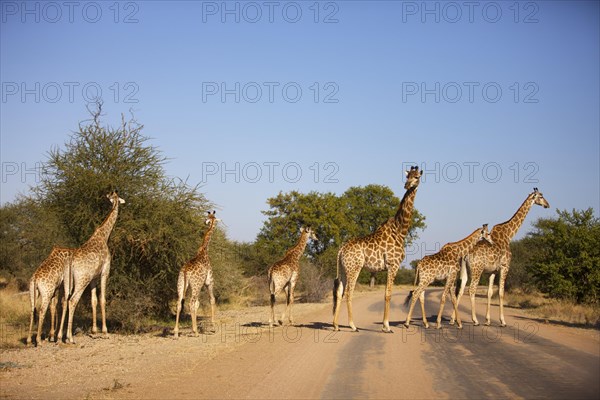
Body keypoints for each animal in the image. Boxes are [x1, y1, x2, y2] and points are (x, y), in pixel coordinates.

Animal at [65, 191, 124, 344]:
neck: (104, 235)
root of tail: (72, 263)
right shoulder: (104, 273)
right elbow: (102, 299)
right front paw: (105, 331)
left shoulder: (93, 278)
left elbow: (93, 301)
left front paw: (94, 330)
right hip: (81, 280)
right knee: (72, 300)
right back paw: (70, 338)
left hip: (69, 282)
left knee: (66, 300)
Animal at [330, 166, 424, 332]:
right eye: (407, 176)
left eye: (417, 177)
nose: (407, 185)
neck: (400, 231)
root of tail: (341, 249)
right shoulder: (393, 265)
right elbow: (388, 294)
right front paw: (387, 326)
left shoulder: (388, 268)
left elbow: (386, 294)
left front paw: (385, 325)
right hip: (354, 268)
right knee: (348, 292)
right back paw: (353, 326)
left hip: (343, 269)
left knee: (339, 292)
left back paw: (336, 325)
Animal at [452, 189, 552, 326]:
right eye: (541, 196)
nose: (547, 205)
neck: (509, 234)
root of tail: (465, 254)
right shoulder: (505, 266)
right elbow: (501, 292)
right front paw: (502, 321)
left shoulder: (492, 271)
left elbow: (489, 292)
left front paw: (488, 320)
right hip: (477, 270)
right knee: (471, 290)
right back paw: (475, 320)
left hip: (465, 269)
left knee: (460, 289)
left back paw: (454, 319)